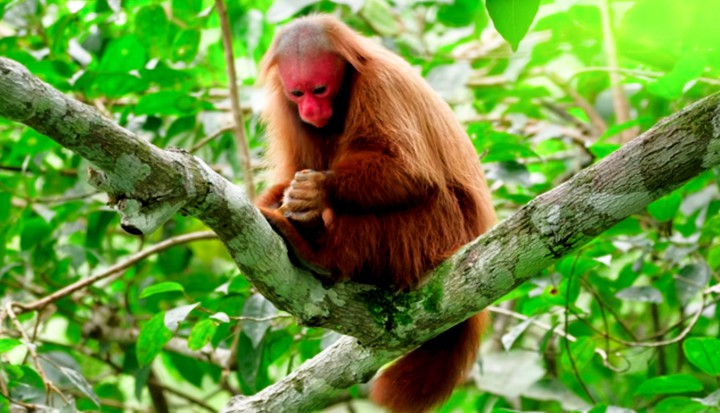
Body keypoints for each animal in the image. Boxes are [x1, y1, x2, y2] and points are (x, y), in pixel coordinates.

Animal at [256, 14, 495, 413]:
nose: (310, 111)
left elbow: (410, 172)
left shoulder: (379, 87)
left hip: (437, 231)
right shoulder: (285, 110)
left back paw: (321, 255)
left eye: (319, 90)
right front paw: (281, 200)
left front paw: (316, 191)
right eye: (298, 94)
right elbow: (294, 168)